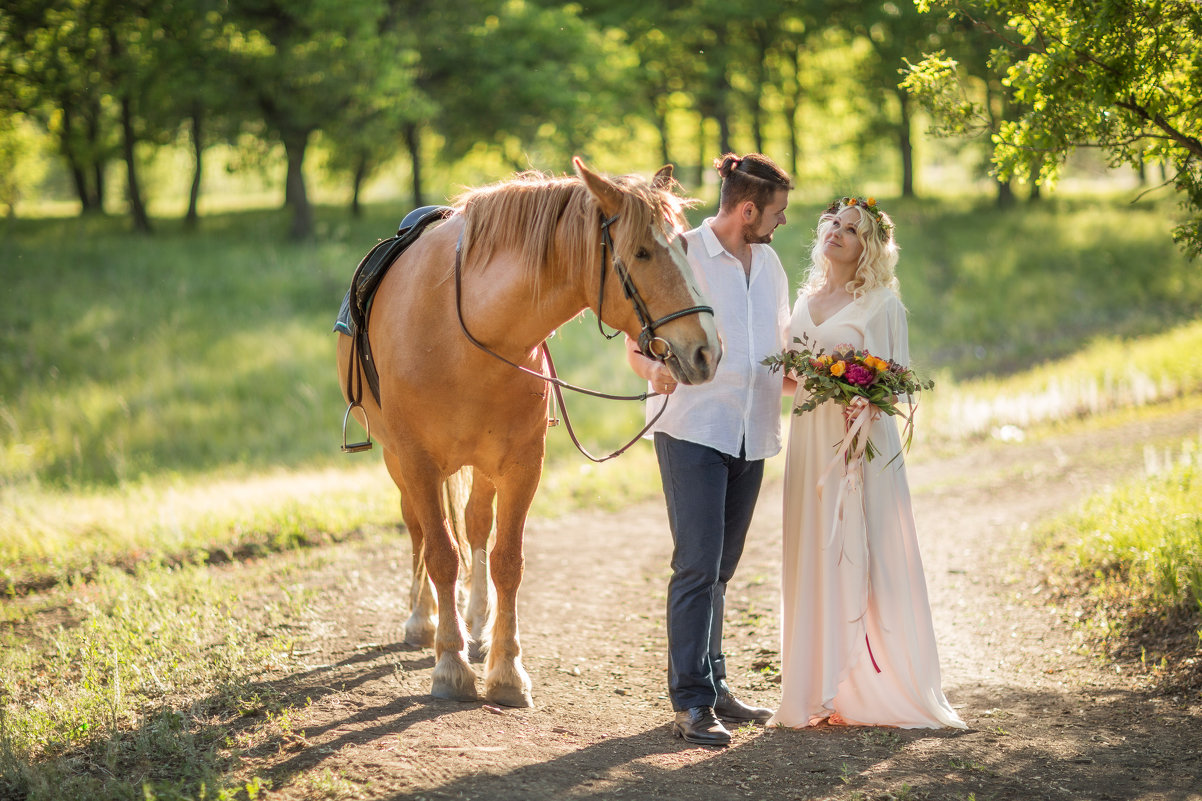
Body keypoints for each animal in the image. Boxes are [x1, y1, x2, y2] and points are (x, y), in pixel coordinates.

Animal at [334, 157, 716, 707]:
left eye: (684, 246)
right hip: (395, 460)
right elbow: (441, 554)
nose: (707, 350)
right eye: (642, 252)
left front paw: (506, 670)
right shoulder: (416, 460)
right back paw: (424, 619)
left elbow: (506, 560)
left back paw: (476, 622)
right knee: (419, 530)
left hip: (481, 465)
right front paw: (450, 667)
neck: (463, 330)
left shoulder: (520, 463)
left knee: (475, 525)